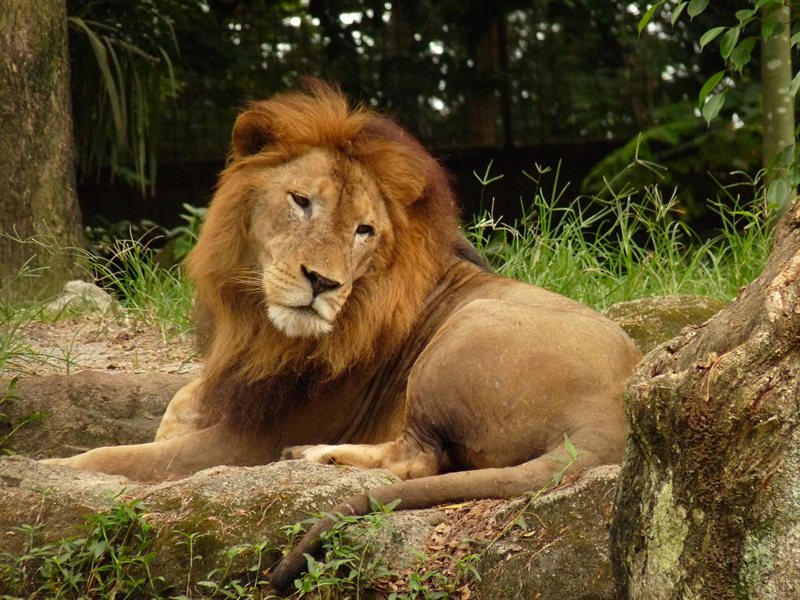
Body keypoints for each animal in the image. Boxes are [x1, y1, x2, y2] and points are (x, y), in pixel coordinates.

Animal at [44, 81, 641, 590]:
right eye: (301, 201)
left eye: (364, 230)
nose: (323, 282)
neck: (254, 326)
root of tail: (610, 420)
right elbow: (155, 428)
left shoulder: (244, 441)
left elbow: (115, 457)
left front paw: (50, 468)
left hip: (466, 329)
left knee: (417, 460)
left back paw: (315, 455)